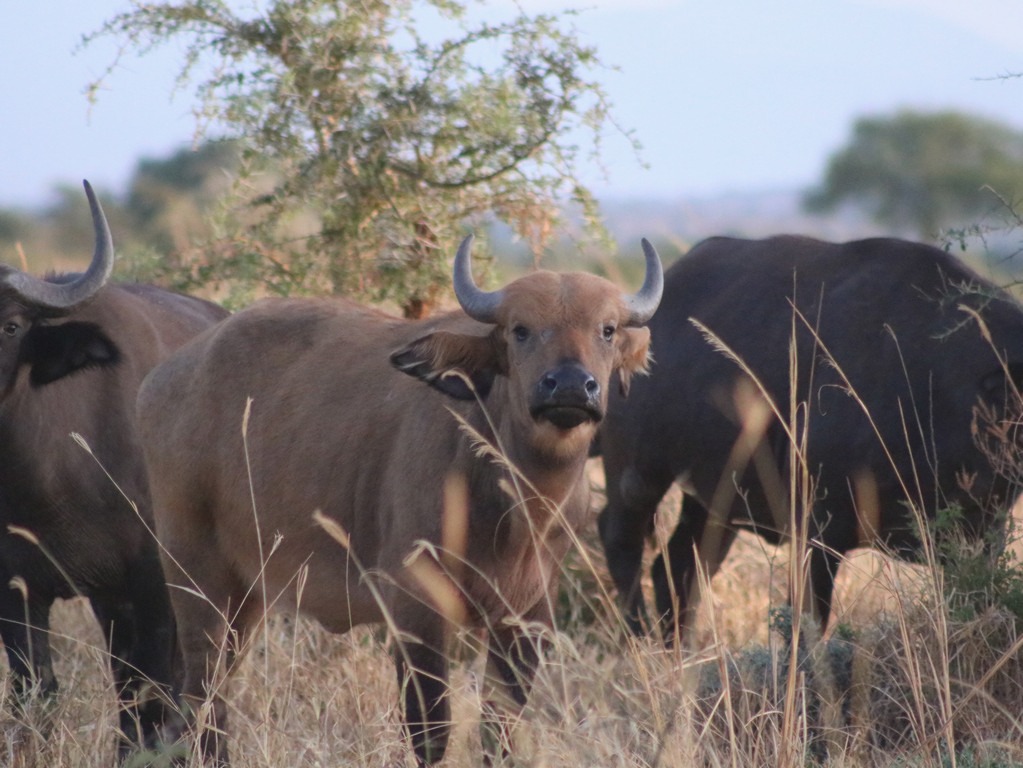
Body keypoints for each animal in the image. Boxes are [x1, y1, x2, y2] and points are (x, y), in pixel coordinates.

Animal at [138, 234, 662, 764]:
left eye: (607, 330)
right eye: (521, 330)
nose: (571, 385)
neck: (517, 509)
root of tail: (165, 379)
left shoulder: (529, 615)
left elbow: (501, 730)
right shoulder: (415, 605)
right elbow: (430, 730)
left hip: (248, 596)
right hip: (195, 576)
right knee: (203, 695)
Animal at [597, 234, 1023, 642]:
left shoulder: (981, 540)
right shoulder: (816, 531)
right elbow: (806, 626)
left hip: (715, 499)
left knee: (679, 570)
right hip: (635, 474)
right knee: (621, 542)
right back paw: (640, 640)